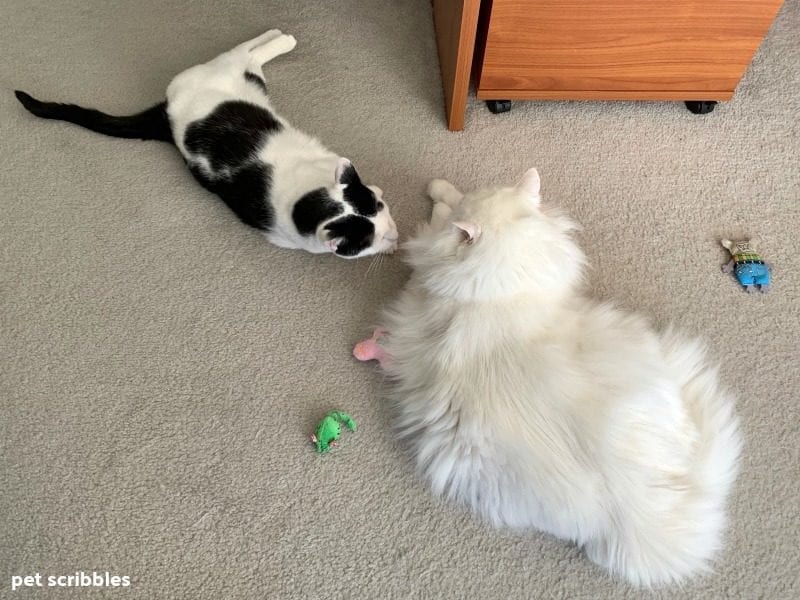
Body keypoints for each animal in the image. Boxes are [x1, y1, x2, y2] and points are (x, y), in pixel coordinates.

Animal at [14, 29, 396, 258]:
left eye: (379, 206)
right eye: (367, 241)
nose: (389, 232)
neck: (307, 197)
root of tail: (166, 112)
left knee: (245, 52)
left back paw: (276, 35)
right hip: (234, 73)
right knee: (243, 53)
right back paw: (282, 39)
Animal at [362, 168, 744, 584]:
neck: (501, 292)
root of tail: (637, 516)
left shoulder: (421, 279)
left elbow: (441, 215)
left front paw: (439, 194)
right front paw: (440, 194)